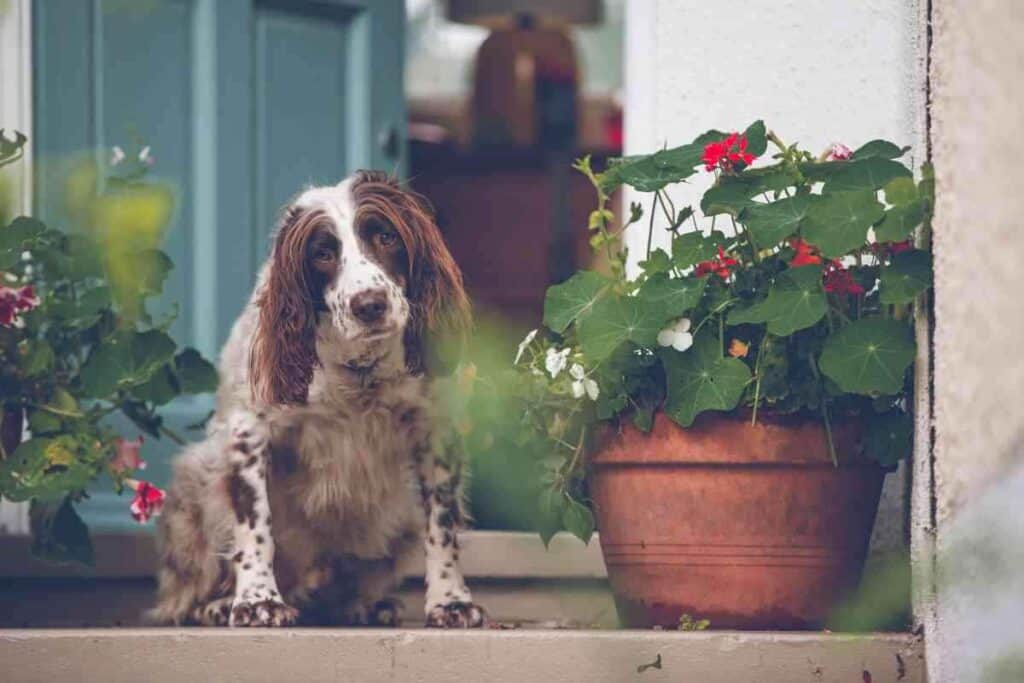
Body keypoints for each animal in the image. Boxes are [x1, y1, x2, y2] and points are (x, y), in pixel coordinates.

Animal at [149, 172, 487, 630]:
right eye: (323, 254)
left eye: (385, 236)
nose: (369, 306)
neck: (358, 368)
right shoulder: (248, 432)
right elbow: (256, 526)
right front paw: (257, 600)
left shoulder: (436, 432)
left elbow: (443, 524)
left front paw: (450, 601)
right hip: (197, 479)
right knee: (186, 594)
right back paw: (217, 605)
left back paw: (364, 605)